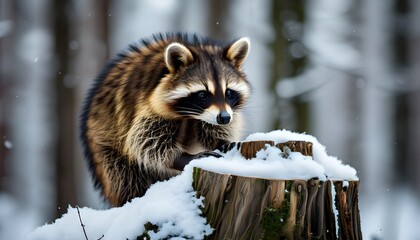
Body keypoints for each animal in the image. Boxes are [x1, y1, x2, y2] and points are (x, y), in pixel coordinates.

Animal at [79, 33, 249, 206]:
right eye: (202, 94)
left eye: (228, 92)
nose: (225, 118)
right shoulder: (145, 104)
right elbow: (144, 141)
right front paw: (182, 158)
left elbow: (212, 129)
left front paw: (221, 141)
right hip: (106, 148)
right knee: (125, 176)